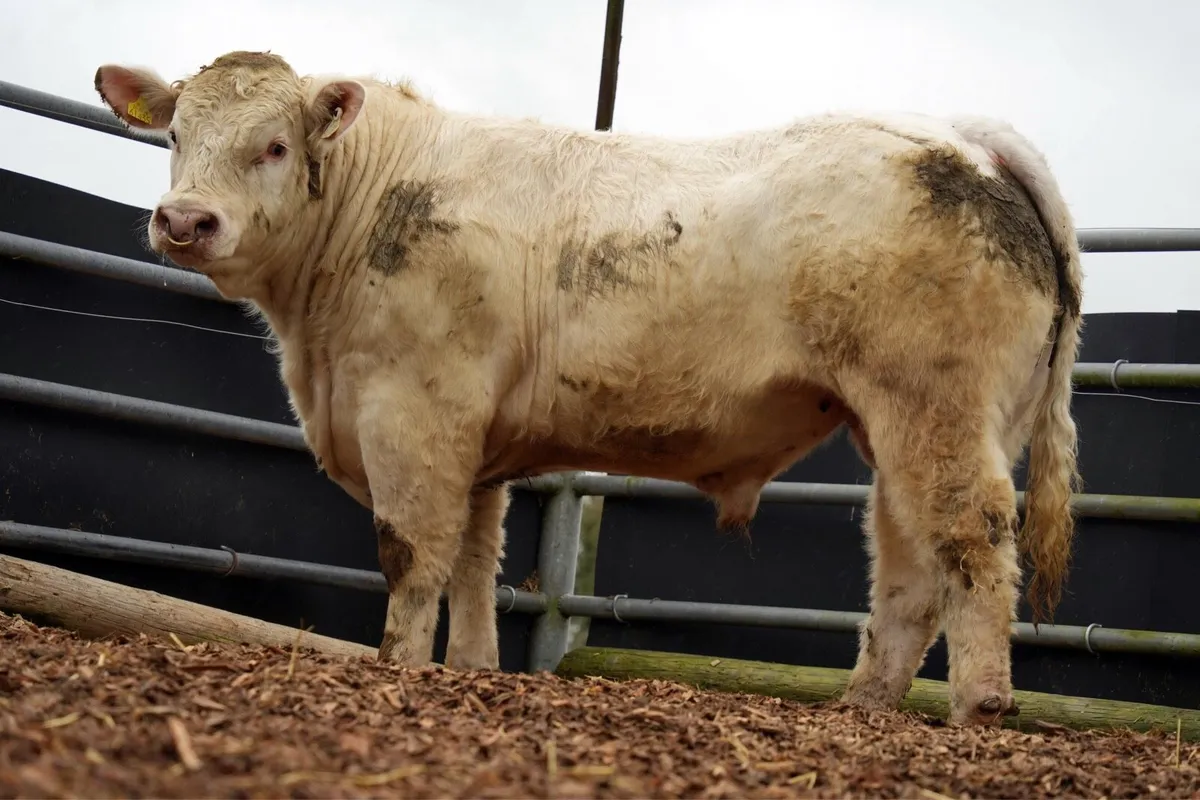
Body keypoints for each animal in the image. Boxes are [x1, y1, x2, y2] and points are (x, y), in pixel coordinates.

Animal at [93, 50, 1083, 728]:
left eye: (273, 145)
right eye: (174, 137)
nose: (185, 221)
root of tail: (960, 135)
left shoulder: (414, 412)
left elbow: (413, 557)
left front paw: (399, 669)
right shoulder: (474, 440)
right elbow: (475, 563)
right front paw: (473, 672)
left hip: (935, 406)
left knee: (972, 536)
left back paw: (977, 709)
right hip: (906, 423)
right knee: (909, 567)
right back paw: (863, 708)